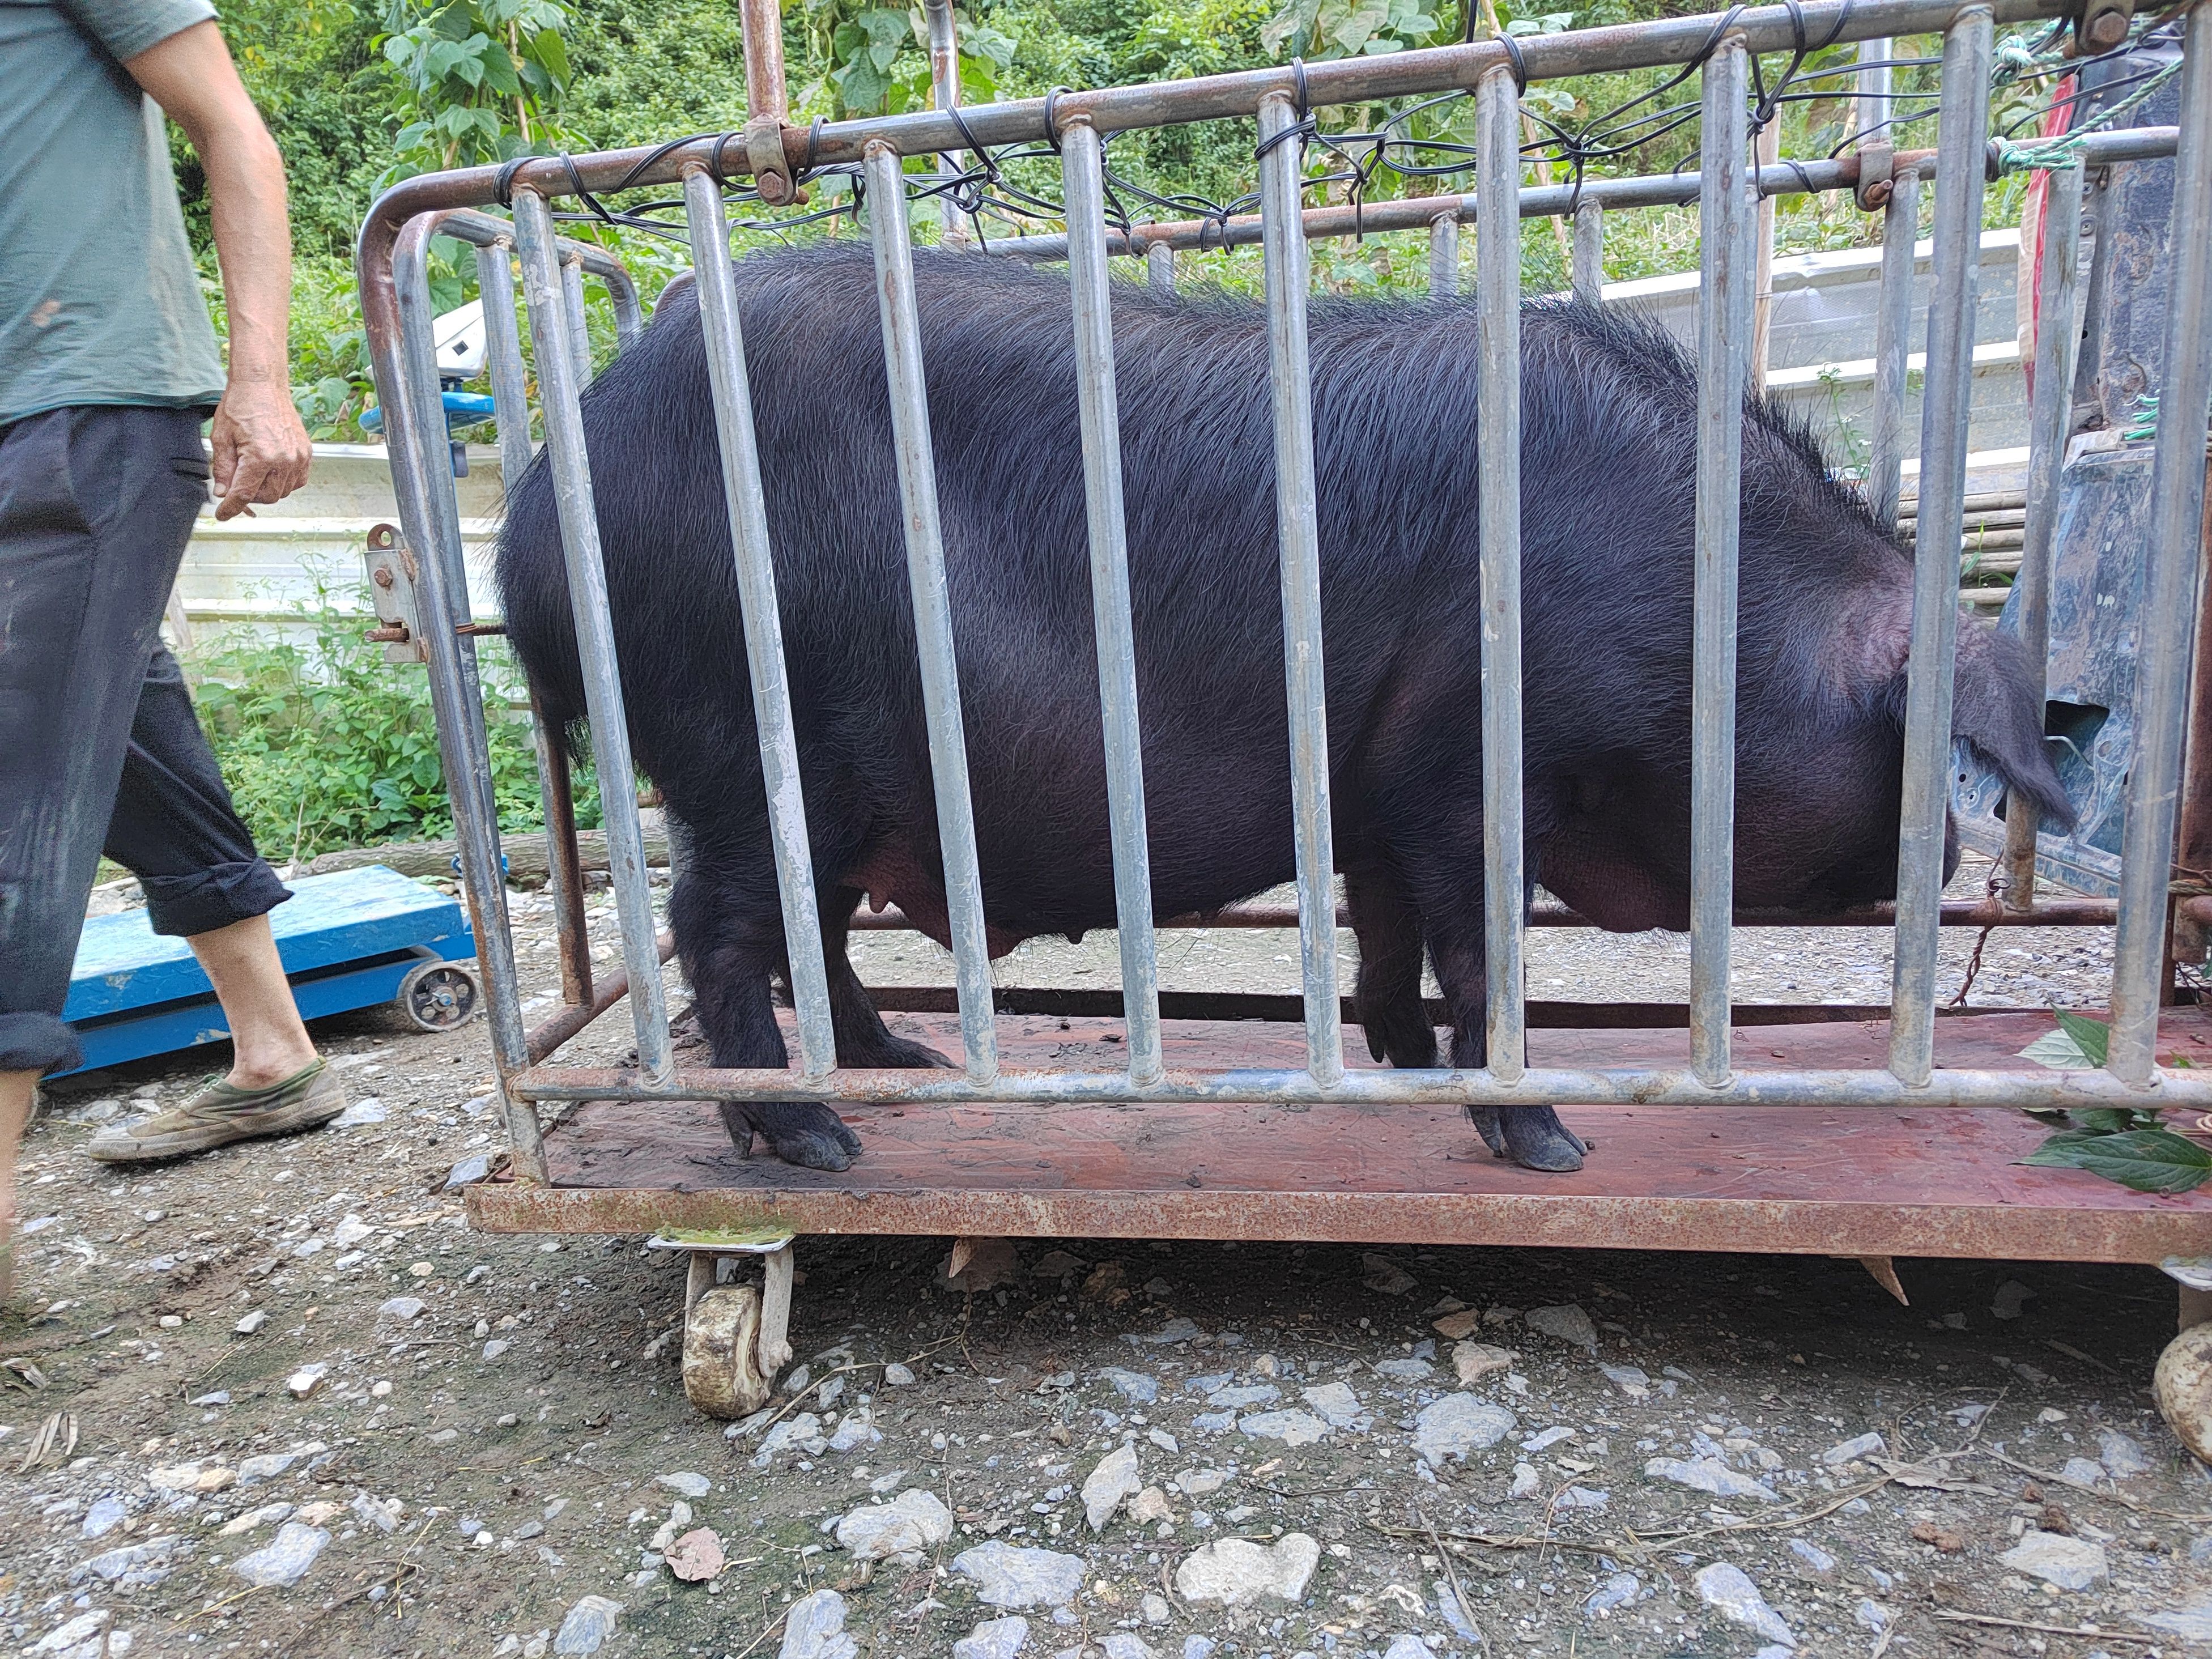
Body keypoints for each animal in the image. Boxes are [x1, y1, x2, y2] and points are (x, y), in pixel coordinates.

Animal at [493, 250, 2061, 1185]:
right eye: (1914, 750)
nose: (1937, 864)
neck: (1698, 606)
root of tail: (533, 507)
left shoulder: (1381, 781)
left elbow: (1386, 936)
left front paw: (1403, 1066)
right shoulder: (1471, 769)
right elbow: (1479, 944)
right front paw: (1547, 1147)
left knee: (806, 933)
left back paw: (903, 1068)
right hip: (742, 733)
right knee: (718, 928)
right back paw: (814, 1142)